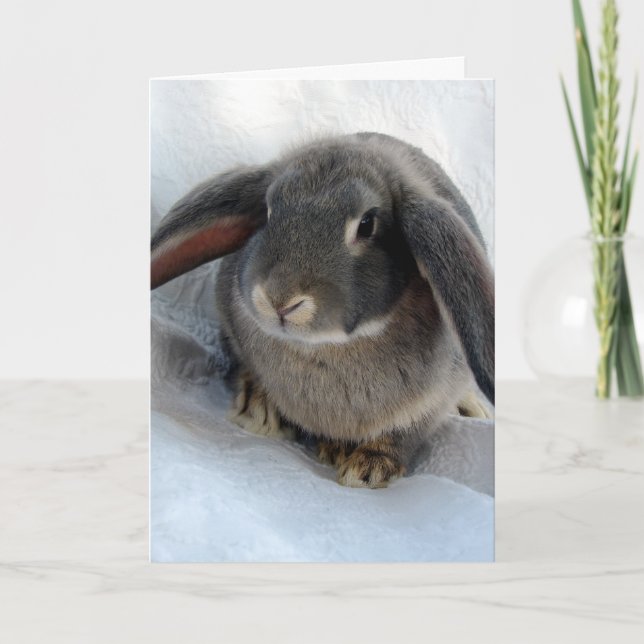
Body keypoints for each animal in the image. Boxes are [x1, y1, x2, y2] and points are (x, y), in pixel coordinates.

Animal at [151, 132, 494, 488]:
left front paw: (368, 469)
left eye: (367, 224)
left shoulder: (432, 401)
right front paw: (276, 420)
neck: (324, 348)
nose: (279, 300)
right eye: (269, 211)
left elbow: (403, 435)